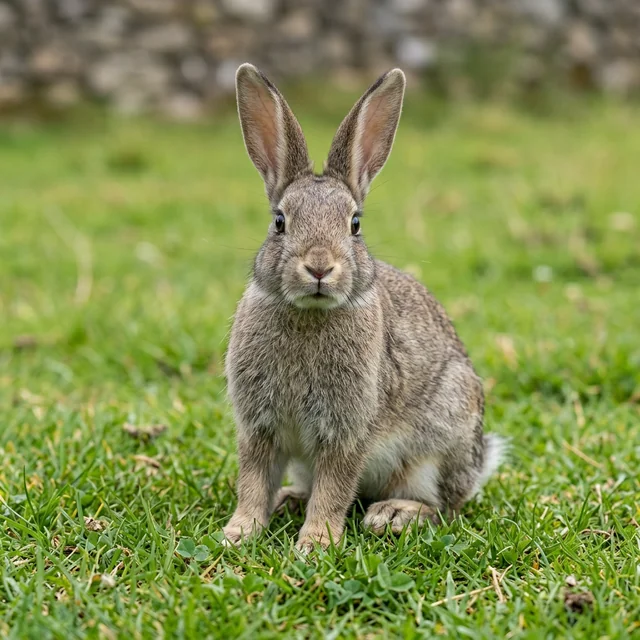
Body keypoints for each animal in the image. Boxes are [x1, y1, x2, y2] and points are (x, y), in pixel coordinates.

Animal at [222, 63, 506, 552]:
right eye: (279, 222)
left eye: (354, 224)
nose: (319, 266)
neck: (309, 315)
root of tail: (476, 463)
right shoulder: (259, 427)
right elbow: (254, 481)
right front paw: (240, 531)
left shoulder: (347, 430)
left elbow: (335, 487)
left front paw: (315, 543)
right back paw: (290, 499)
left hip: (436, 444)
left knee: (444, 508)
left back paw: (393, 514)